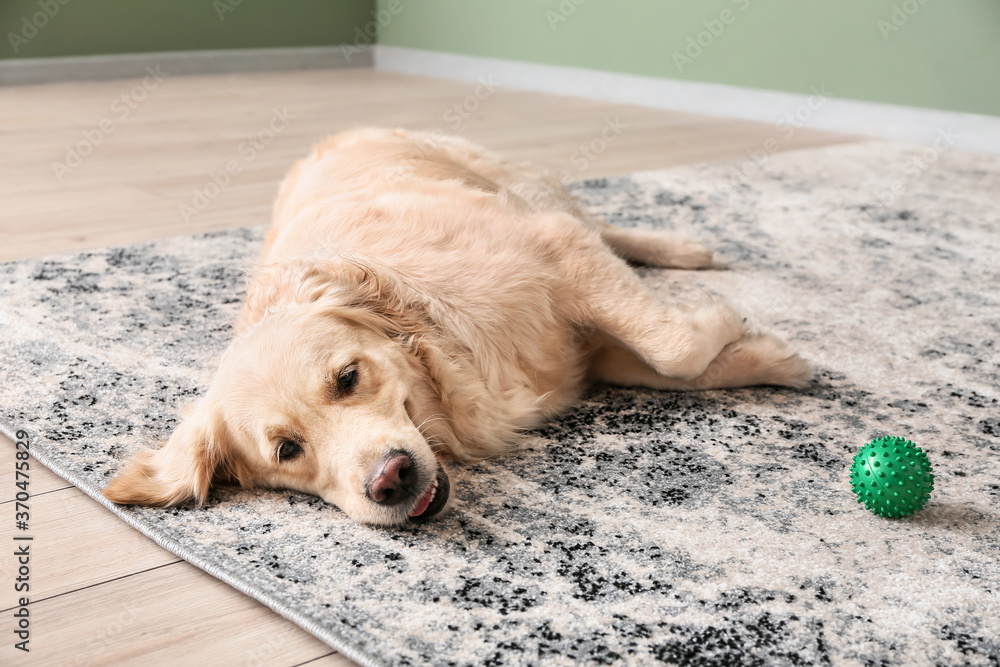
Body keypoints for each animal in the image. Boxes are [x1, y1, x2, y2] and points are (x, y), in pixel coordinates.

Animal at [101, 128, 808, 524]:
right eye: (287, 452)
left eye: (348, 377)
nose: (389, 480)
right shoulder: (587, 352)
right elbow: (674, 363)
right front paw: (769, 357)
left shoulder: (557, 249)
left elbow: (676, 345)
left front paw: (729, 320)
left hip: (529, 190)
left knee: (603, 224)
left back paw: (686, 249)